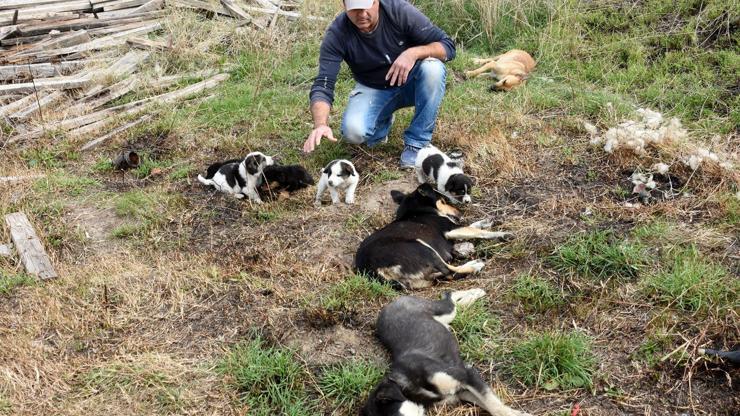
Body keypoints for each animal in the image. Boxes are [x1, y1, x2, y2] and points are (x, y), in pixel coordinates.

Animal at [356, 184, 512, 290]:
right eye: (443, 201)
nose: (460, 213)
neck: (418, 210)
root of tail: (373, 270)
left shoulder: (453, 228)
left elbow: (474, 225)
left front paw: (489, 221)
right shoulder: (450, 229)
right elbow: (478, 231)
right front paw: (502, 234)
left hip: (418, 279)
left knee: (442, 275)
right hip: (422, 247)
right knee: (450, 272)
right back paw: (475, 265)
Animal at [360, 290, 528, 416]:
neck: (405, 387)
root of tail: (390, 303)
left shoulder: (466, 374)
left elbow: (493, 404)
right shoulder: (460, 392)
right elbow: (488, 404)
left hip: (444, 310)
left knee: (449, 295)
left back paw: (477, 291)